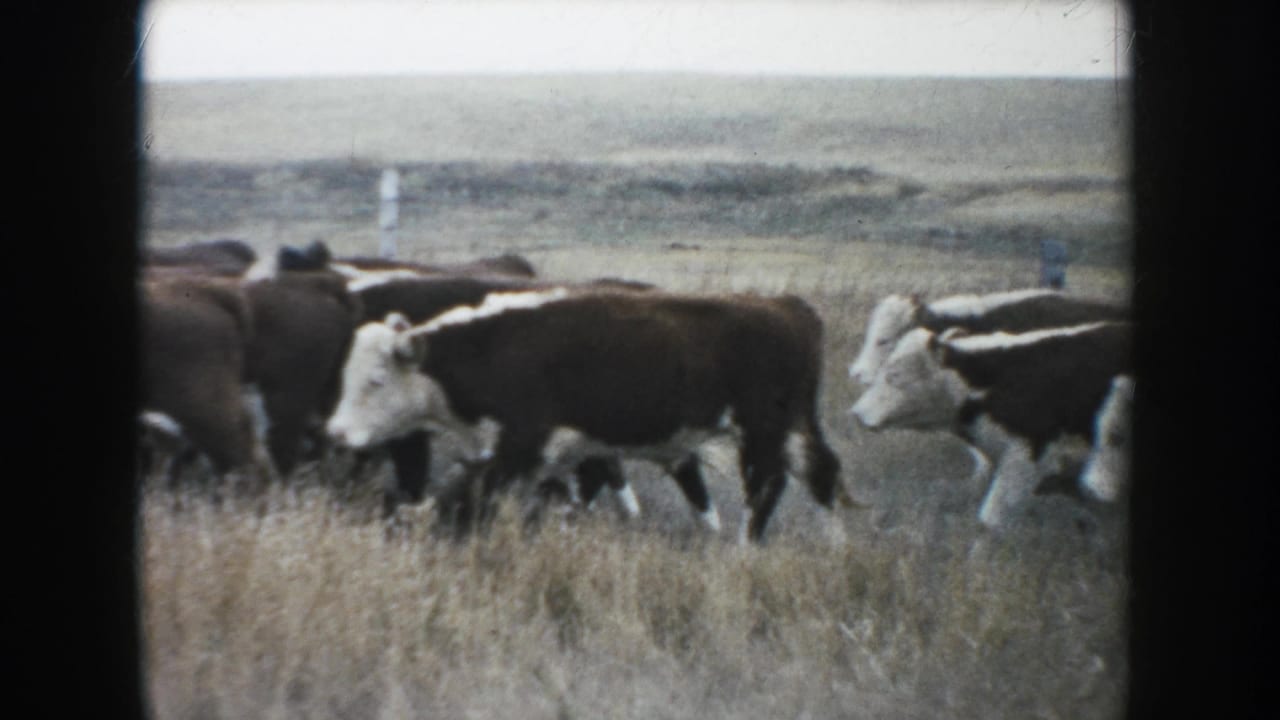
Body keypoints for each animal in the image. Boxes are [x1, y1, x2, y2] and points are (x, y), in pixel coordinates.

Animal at [325, 289, 857, 543]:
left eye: (376, 380)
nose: (337, 434)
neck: (492, 347)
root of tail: (786, 306)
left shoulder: (520, 447)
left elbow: (480, 498)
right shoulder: (562, 455)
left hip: (761, 433)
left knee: (765, 490)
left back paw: (744, 550)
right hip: (794, 428)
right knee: (822, 474)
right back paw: (839, 548)